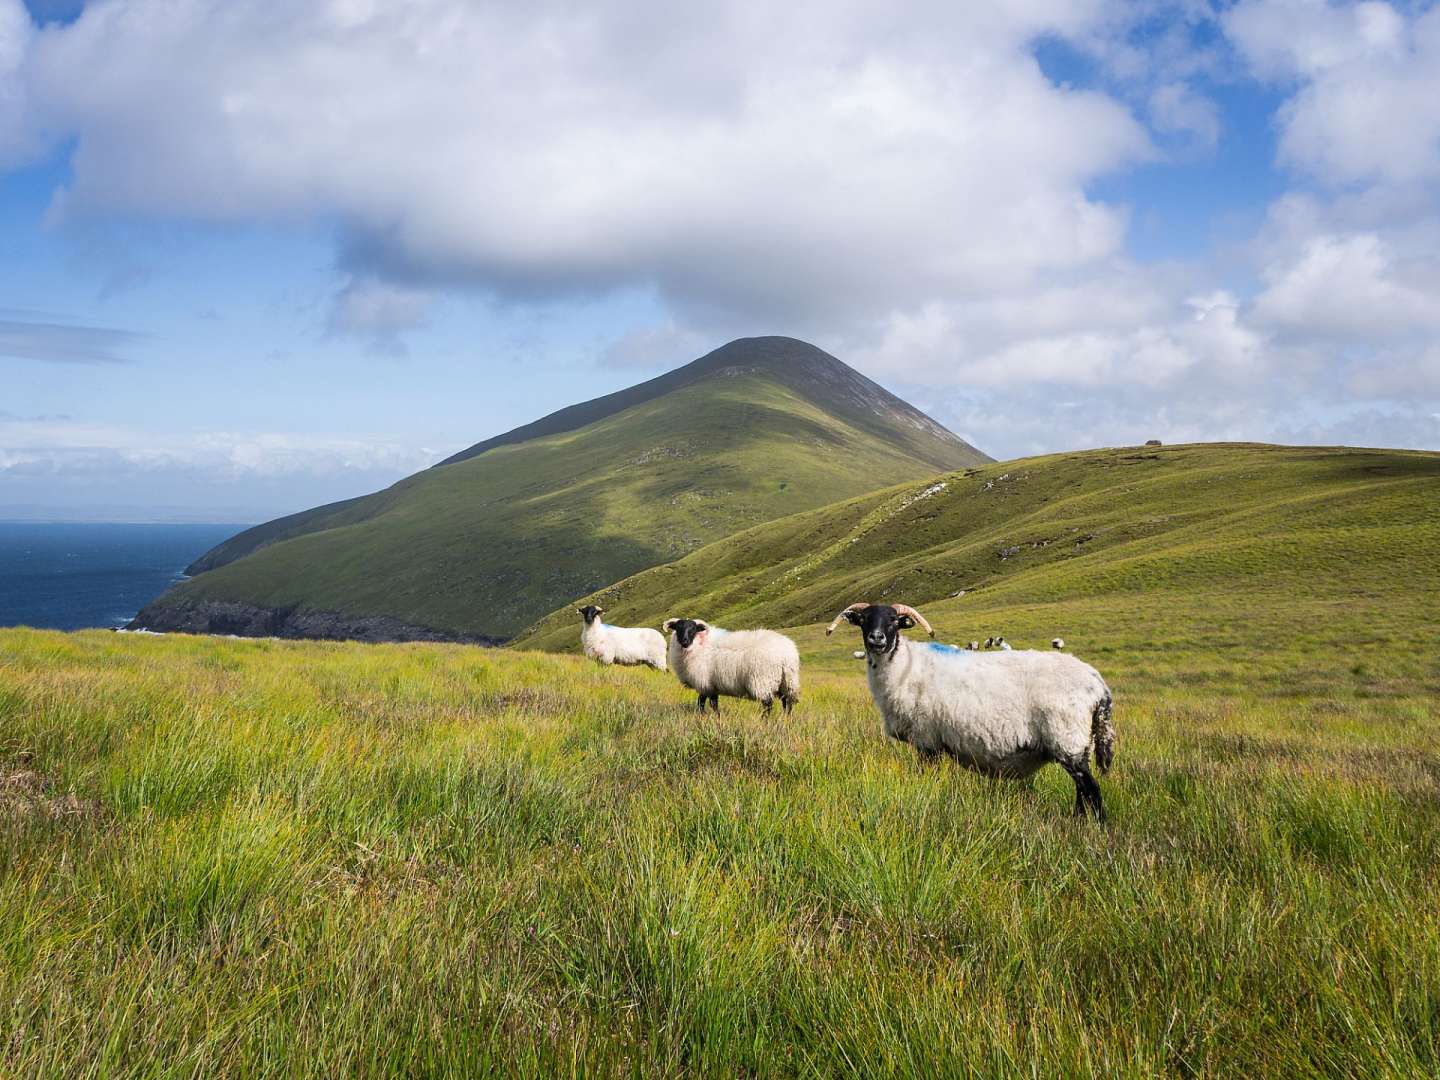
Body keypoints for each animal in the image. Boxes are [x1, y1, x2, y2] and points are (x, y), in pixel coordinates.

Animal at [662, 617, 800, 715]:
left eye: (693, 629)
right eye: (678, 628)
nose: (684, 641)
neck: (699, 645)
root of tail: (787, 655)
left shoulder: (704, 683)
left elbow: (702, 702)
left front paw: (706, 716)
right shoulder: (712, 685)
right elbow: (712, 703)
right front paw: (715, 717)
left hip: (763, 681)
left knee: (768, 705)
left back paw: (765, 722)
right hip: (786, 682)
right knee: (787, 703)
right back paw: (785, 719)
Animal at [826, 602, 1116, 821]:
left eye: (894, 621)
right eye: (864, 620)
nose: (877, 639)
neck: (904, 666)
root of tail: (1097, 683)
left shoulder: (927, 739)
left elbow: (927, 777)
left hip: (1067, 738)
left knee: (1091, 789)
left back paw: (1097, 827)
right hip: (1081, 742)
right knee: (1082, 791)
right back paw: (1079, 821)